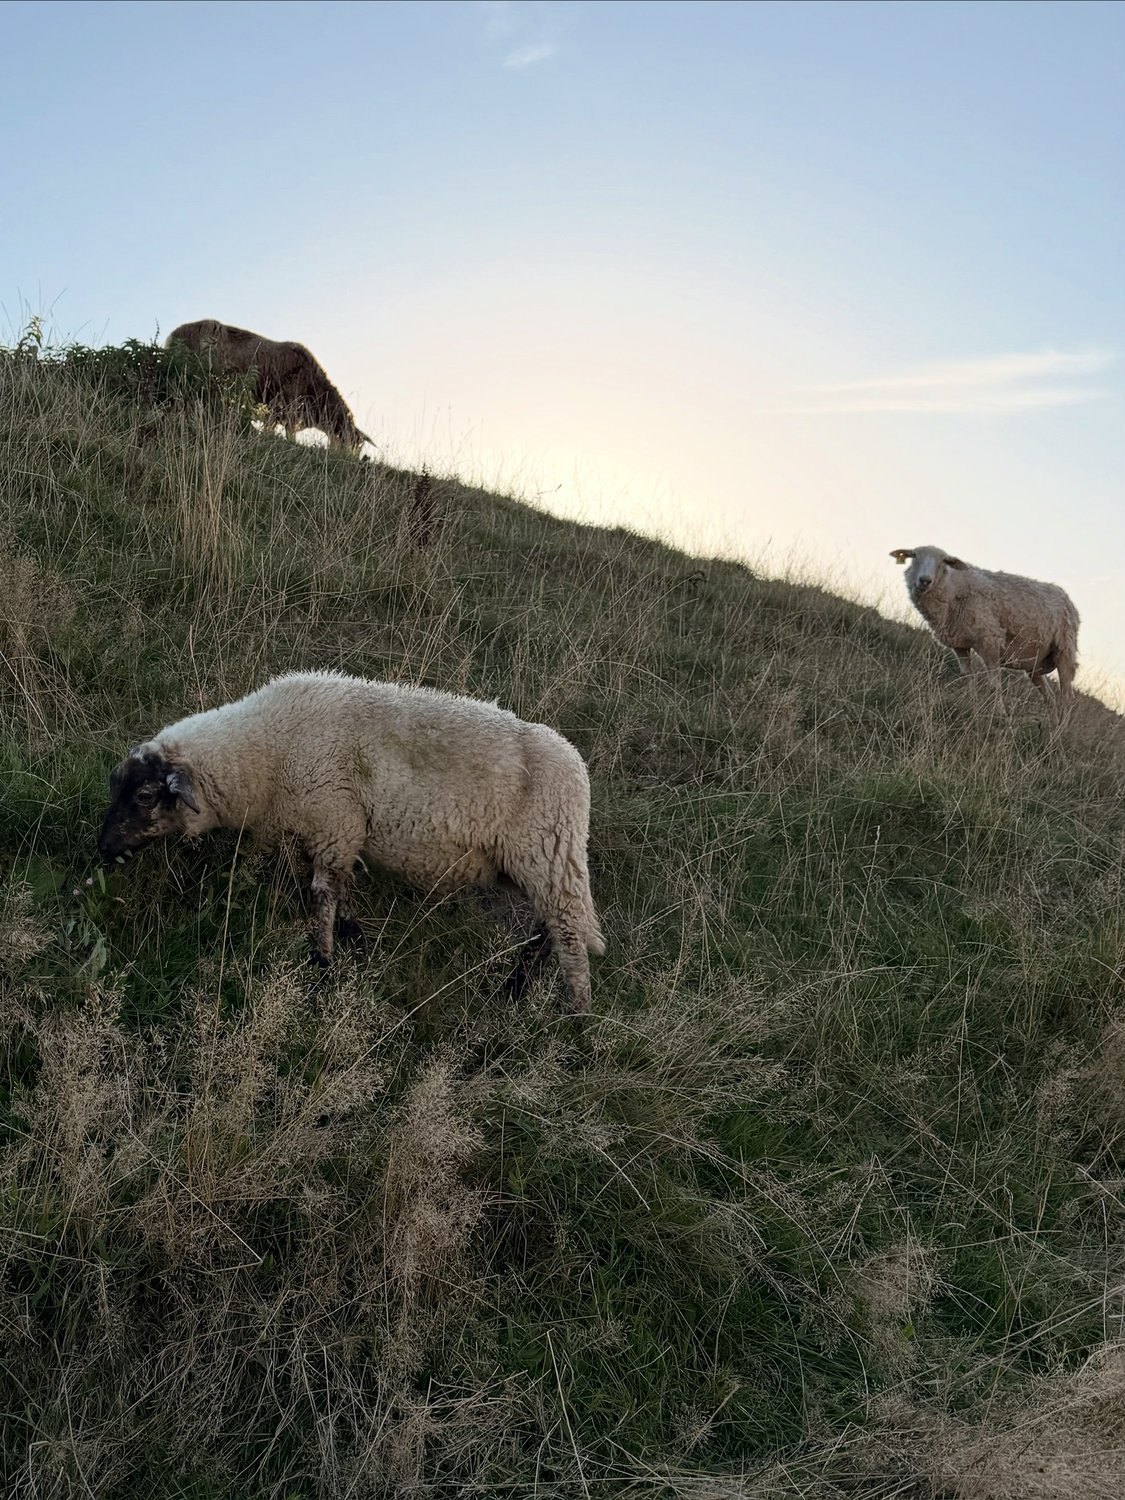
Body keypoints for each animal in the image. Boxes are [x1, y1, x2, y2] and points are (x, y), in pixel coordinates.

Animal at [97, 671, 605, 1012]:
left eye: (145, 795)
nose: (101, 848)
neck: (265, 753)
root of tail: (575, 764)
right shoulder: (333, 832)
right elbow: (338, 890)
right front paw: (351, 936)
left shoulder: (335, 820)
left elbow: (322, 894)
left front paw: (323, 964)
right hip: (533, 865)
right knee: (548, 926)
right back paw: (516, 986)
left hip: (550, 853)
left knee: (570, 938)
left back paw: (575, 1017)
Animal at [890, 545, 1079, 704]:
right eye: (914, 556)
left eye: (943, 562)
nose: (924, 580)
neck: (953, 588)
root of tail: (1067, 598)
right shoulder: (960, 644)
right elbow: (968, 676)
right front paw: (971, 703)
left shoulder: (990, 640)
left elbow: (995, 685)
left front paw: (999, 715)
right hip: (1033, 662)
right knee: (1049, 697)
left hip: (1065, 651)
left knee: (1067, 696)